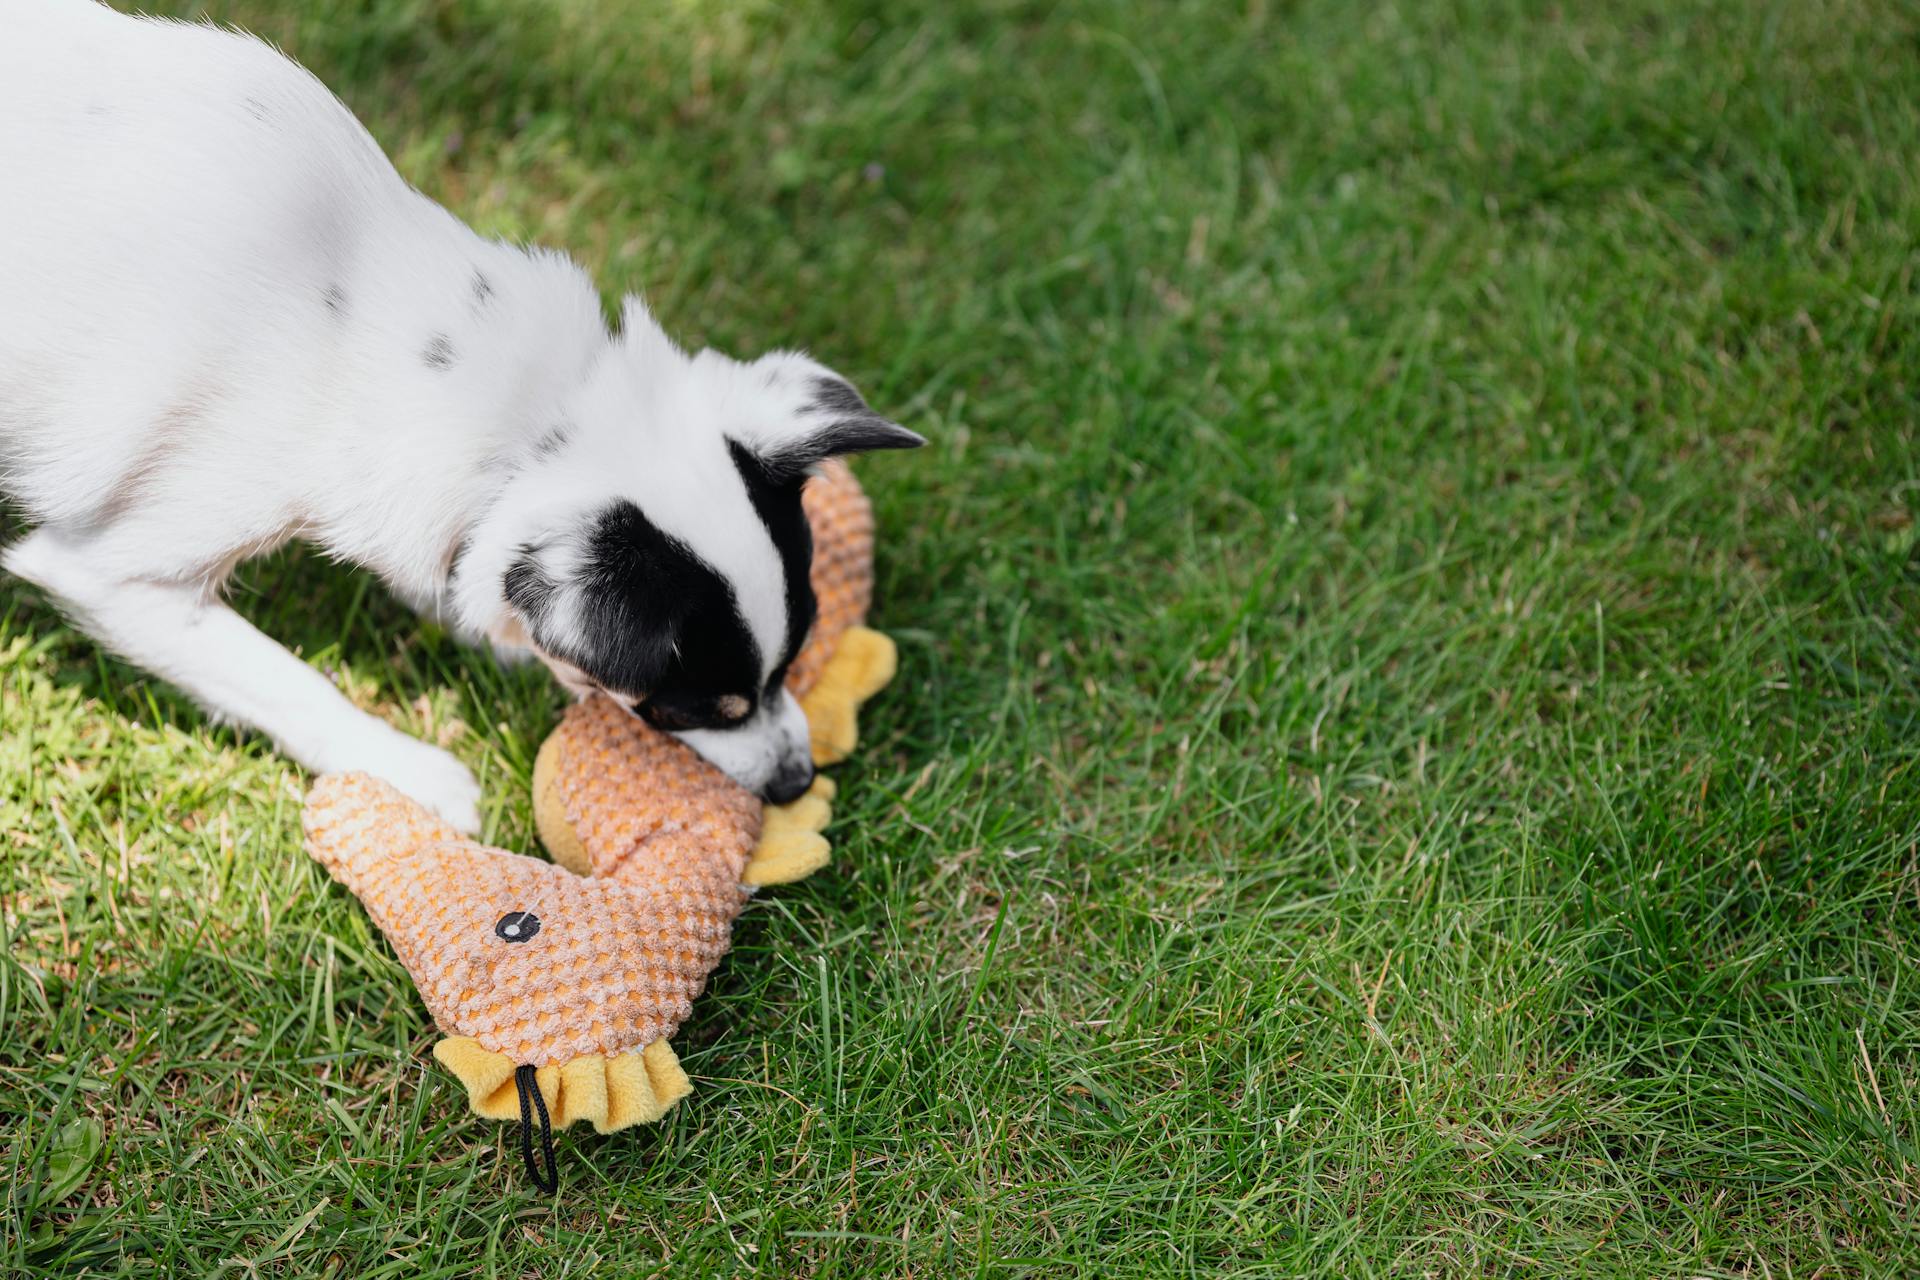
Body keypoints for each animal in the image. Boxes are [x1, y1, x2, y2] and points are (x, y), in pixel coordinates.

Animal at [0, 2, 921, 832]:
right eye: (701, 705)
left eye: (792, 664)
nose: (798, 782)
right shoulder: (118, 576)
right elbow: (283, 679)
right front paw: (411, 775)